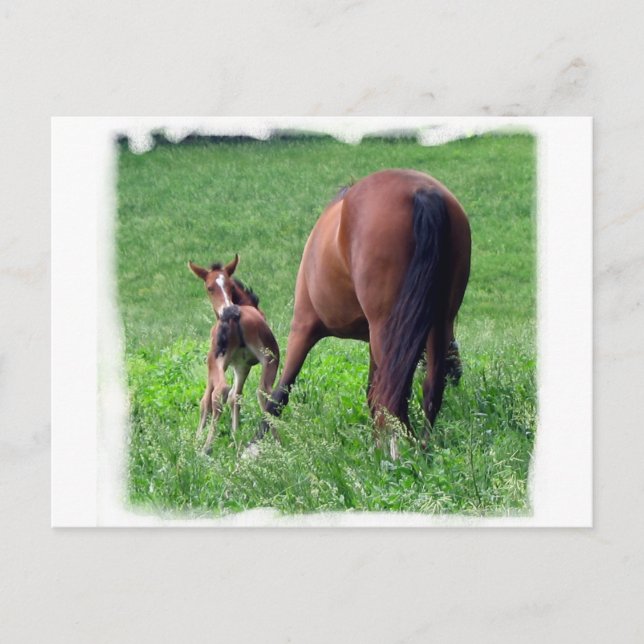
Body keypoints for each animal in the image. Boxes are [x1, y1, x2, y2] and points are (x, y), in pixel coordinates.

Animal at [188, 255, 280, 454]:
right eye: (210, 288)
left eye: (230, 286)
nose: (229, 310)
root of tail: (235, 315)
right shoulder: (242, 366)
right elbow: (236, 397)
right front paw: (236, 437)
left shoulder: (212, 364)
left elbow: (205, 401)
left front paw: (197, 439)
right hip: (270, 358)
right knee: (264, 391)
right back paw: (278, 441)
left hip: (217, 360)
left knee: (219, 392)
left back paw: (206, 447)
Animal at [254, 169, 471, 458]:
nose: (457, 372)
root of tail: (422, 192)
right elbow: (371, 393)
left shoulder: (303, 327)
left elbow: (279, 393)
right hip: (436, 324)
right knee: (427, 389)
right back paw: (421, 450)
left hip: (384, 330)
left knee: (394, 396)